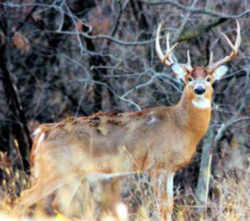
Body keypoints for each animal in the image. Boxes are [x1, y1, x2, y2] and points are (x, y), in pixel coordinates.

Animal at [15, 20, 240, 219]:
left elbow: (169, 206)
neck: (182, 126)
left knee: (58, 204)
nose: (199, 89)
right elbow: (162, 207)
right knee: (24, 197)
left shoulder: (170, 169)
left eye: (209, 78)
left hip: (72, 175)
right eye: (189, 78)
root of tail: (42, 132)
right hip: (54, 170)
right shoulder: (156, 165)